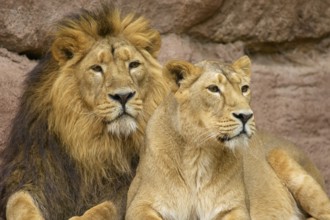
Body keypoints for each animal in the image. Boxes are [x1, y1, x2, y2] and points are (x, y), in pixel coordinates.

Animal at [0, 4, 169, 220]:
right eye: (96, 68)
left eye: (133, 65)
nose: (123, 96)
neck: (89, 142)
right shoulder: (34, 174)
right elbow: (18, 202)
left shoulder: (127, 187)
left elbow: (106, 207)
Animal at [125, 57, 328, 220]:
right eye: (213, 89)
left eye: (244, 88)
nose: (246, 116)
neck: (198, 152)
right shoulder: (139, 203)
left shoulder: (235, 207)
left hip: (278, 155)